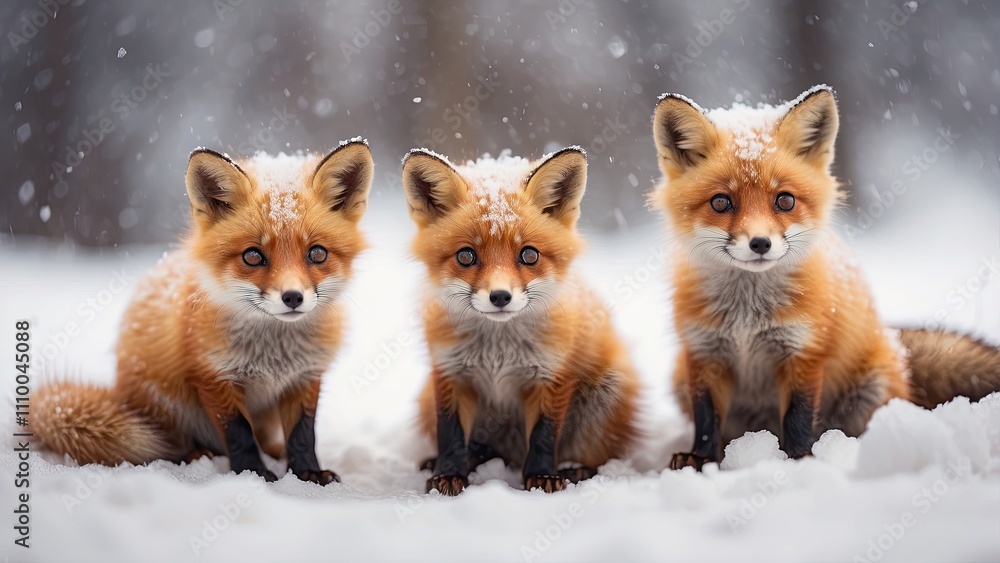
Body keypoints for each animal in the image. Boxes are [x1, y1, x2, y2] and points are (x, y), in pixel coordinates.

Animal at [31, 139, 374, 484]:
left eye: (317, 253)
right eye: (253, 256)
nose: (293, 297)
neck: (273, 355)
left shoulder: (305, 376)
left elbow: (303, 434)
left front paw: (308, 473)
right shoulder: (213, 377)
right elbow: (238, 433)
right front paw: (253, 473)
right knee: (171, 446)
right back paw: (197, 455)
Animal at [402, 147, 640, 495]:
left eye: (529, 255)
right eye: (466, 256)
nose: (500, 296)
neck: (498, 353)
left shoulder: (551, 376)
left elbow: (544, 434)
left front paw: (542, 478)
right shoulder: (449, 373)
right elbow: (451, 433)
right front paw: (449, 474)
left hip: (607, 392)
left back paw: (575, 468)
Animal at [649, 85, 1000, 469]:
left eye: (785, 201)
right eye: (720, 202)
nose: (760, 243)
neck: (747, 319)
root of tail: (892, 342)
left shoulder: (804, 351)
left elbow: (798, 416)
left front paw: (799, 459)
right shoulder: (704, 354)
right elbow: (707, 418)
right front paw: (700, 459)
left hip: (869, 391)